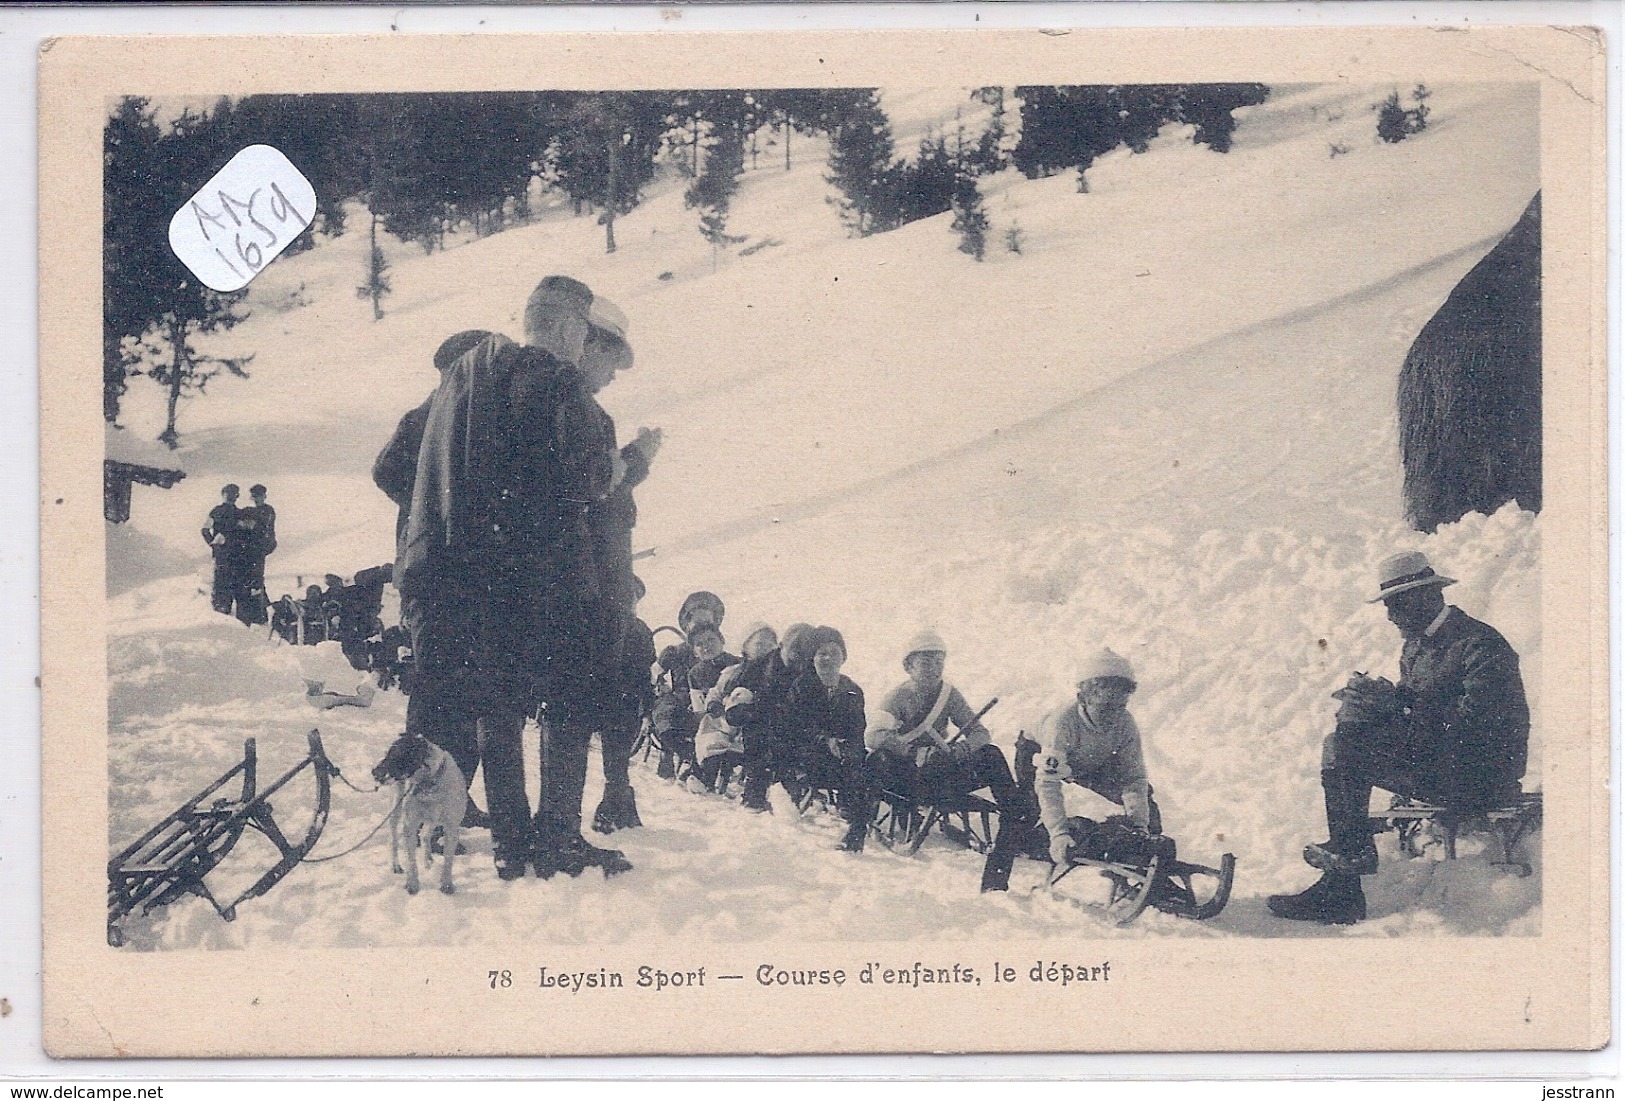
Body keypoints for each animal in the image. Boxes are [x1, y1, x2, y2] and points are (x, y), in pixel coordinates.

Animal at [372, 734, 468, 896]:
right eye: (387, 753)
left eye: (396, 755)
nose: (373, 772)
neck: (429, 785)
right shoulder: (410, 825)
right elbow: (411, 861)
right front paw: (412, 884)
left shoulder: (452, 827)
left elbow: (448, 860)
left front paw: (447, 884)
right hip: (396, 809)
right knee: (393, 840)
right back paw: (396, 865)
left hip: (432, 820)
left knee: (424, 835)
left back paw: (428, 859)